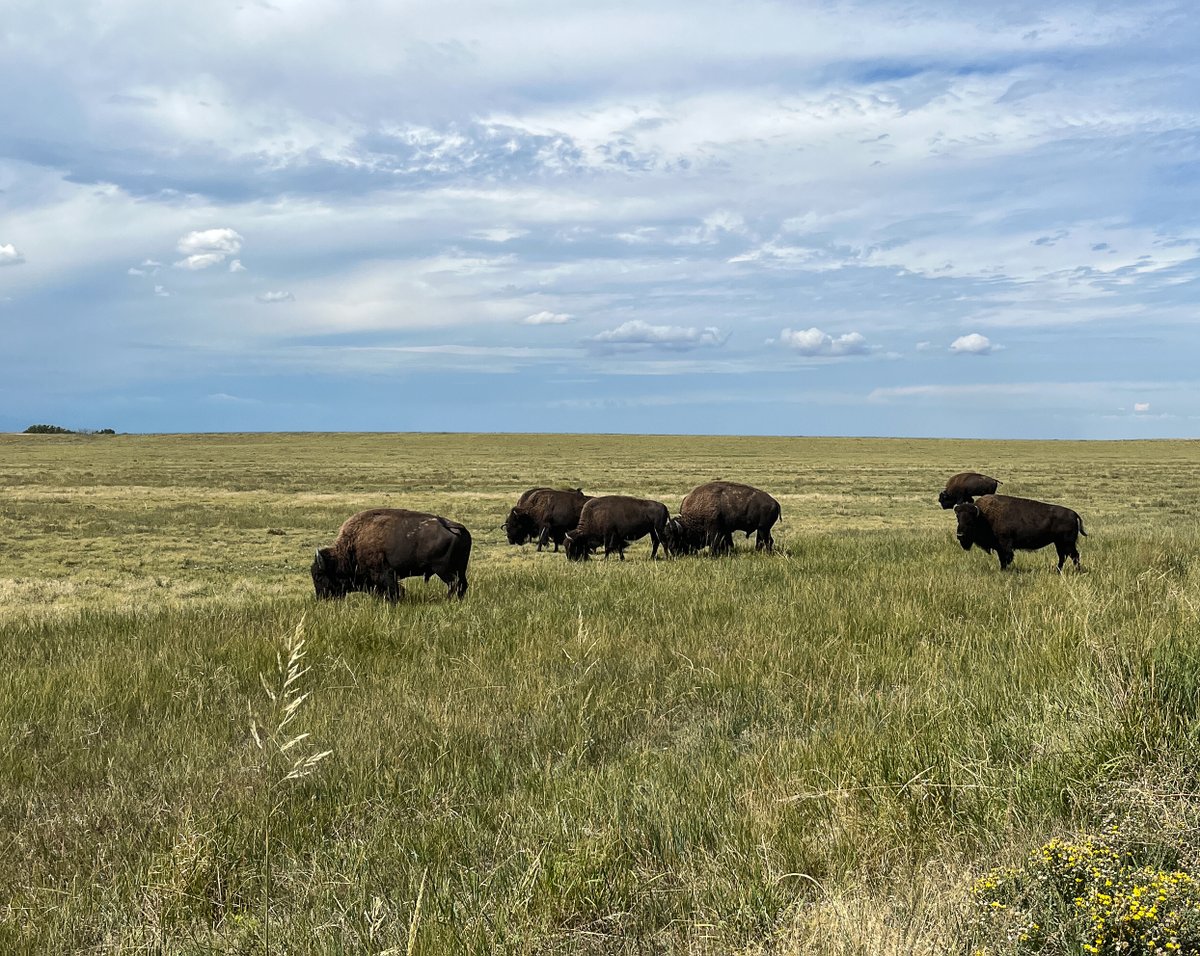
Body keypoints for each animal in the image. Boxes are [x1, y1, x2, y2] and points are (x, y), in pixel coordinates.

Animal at [312, 508, 471, 601]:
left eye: (318, 576)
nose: (321, 599)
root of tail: (454, 526)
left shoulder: (384, 574)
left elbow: (393, 590)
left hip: (443, 569)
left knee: (454, 584)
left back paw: (447, 600)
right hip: (460, 569)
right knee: (462, 585)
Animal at [953, 494, 1086, 571]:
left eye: (970, 521)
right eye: (958, 518)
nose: (960, 535)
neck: (983, 516)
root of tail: (1074, 513)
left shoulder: (1005, 544)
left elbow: (1006, 557)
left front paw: (1004, 570)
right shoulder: (999, 547)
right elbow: (1002, 559)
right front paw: (1002, 569)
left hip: (1068, 543)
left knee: (1074, 556)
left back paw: (1076, 571)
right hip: (1059, 543)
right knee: (1063, 556)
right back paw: (1058, 571)